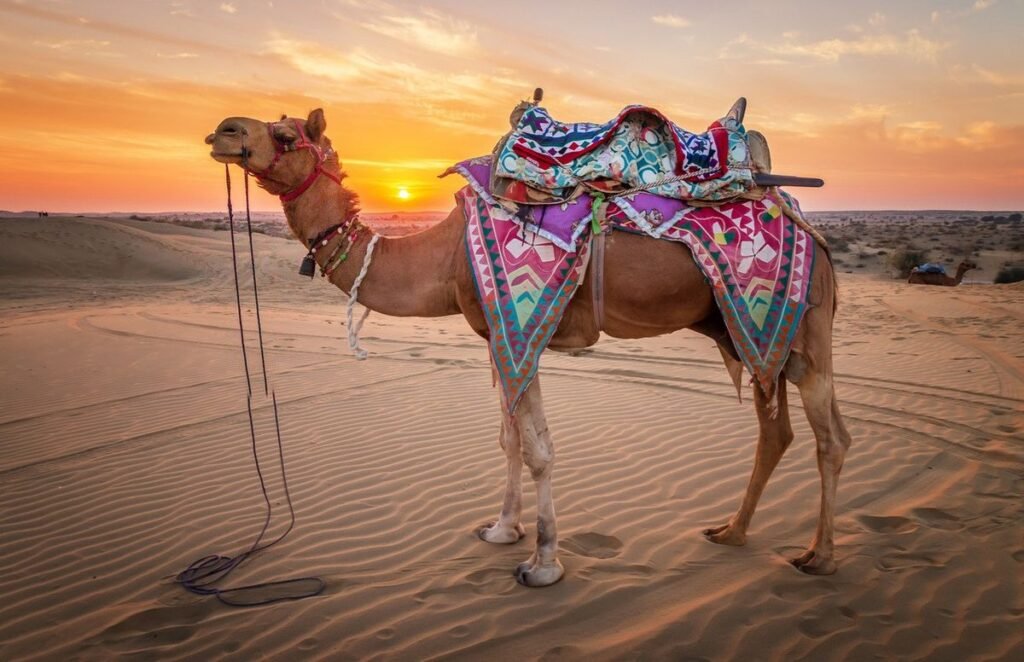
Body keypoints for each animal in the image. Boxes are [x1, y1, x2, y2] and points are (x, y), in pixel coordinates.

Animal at [205, 107, 852, 587]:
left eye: (286, 135)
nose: (224, 131)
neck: (442, 256)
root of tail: (809, 228)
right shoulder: (497, 335)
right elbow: (509, 439)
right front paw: (501, 530)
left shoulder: (521, 332)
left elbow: (537, 449)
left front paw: (542, 563)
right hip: (748, 335)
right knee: (777, 430)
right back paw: (731, 531)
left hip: (805, 329)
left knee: (831, 438)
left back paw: (819, 556)